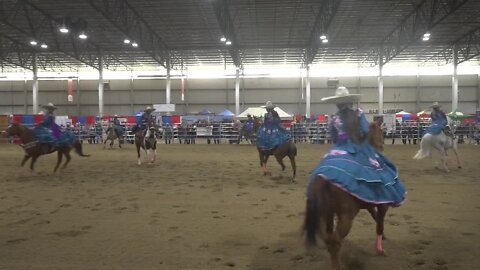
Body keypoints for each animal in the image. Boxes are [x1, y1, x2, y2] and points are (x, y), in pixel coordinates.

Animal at [304, 122, 390, 270]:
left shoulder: (369, 203)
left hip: (325, 214)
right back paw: (338, 266)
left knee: (329, 239)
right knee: (335, 241)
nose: (381, 147)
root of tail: (324, 179)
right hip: (346, 217)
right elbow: (380, 223)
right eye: (381, 132)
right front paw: (380, 249)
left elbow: (375, 217)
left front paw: (383, 238)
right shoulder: (382, 204)